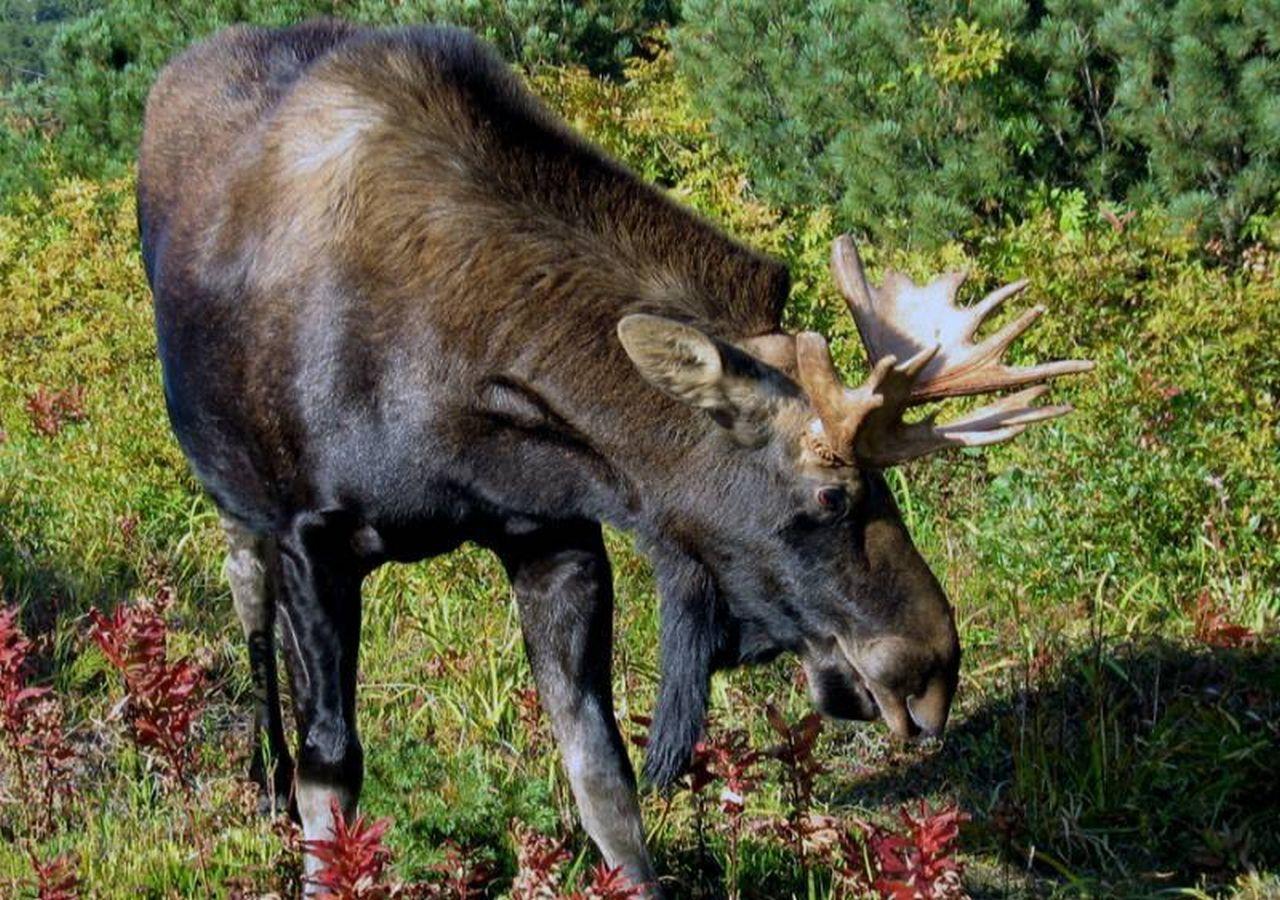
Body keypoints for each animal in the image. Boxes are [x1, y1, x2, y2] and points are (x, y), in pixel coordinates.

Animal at [137, 19, 1090, 896]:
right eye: (830, 496)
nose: (935, 667)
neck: (465, 394)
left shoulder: (553, 535)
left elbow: (602, 775)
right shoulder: (315, 538)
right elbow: (330, 775)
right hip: (235, 503)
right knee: (251, 616)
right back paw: (262, 777)